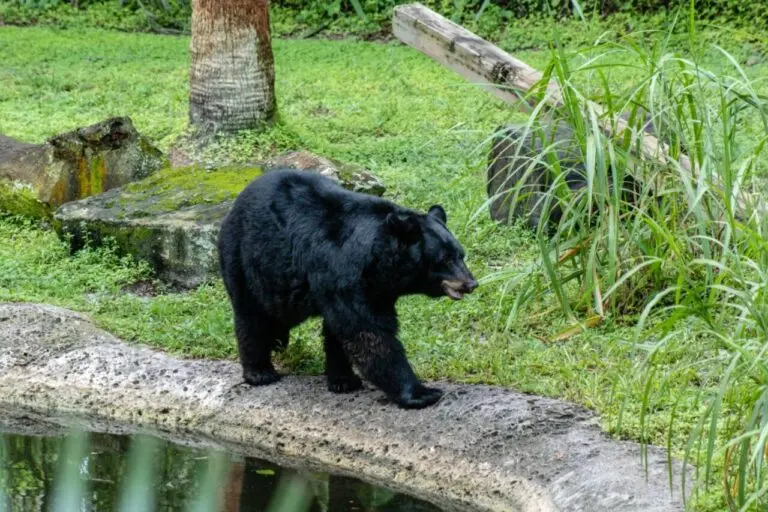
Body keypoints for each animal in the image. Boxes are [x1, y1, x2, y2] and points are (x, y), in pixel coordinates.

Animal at [217, 169, 478, 409]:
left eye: (461, 254)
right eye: (444, 259)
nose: (471, 283)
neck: (378, 262)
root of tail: (235, 205)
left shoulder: (378, 289)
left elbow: (341, 332)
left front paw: (344, 380)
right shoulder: (342, 272)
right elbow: (368, 332)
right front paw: (421, 393)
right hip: (245, 260)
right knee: (251, 316)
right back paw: (260, 372)